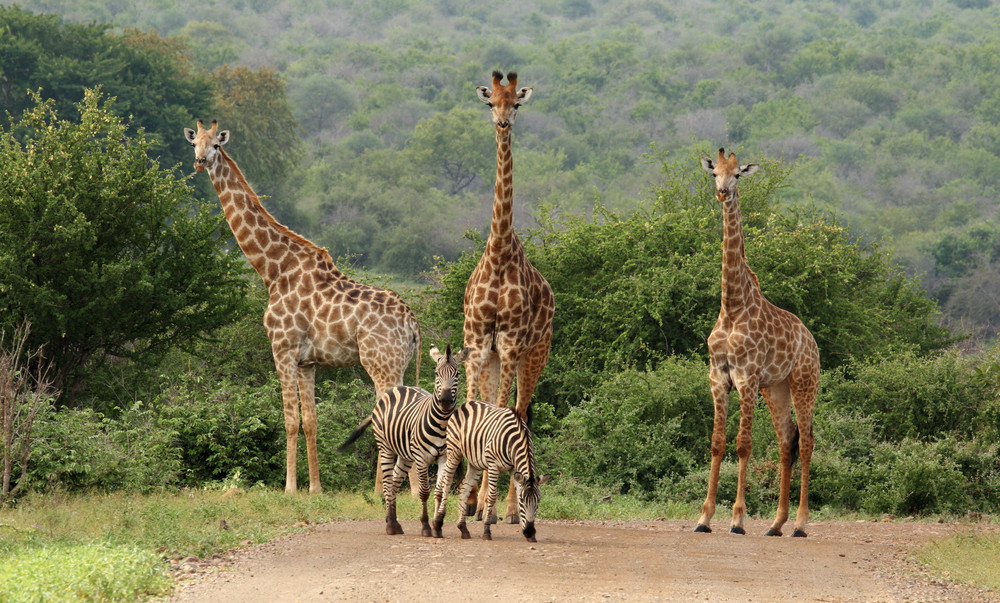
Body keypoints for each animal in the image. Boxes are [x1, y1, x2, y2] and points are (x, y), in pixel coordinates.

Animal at [184, 120, 421, 494]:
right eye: (195, 144)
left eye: (217, 145)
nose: (200, 162)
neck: (273, 269)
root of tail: (413, 324)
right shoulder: (308, 361)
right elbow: (310, 420)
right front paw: (315, 488)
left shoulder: (282, 348)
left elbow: (289, 419)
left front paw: (290, 488)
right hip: (396, 363)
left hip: (382, 364)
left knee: (396, 416)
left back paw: (398, 492)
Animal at [339, 343, 470, 536]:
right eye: (437, 373)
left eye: (458, 374)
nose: (445, 401)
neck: (442, 424)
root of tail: (397, 388)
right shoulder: (422, 459)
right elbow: (424, 492)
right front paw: (425, 526)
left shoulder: (444, 457)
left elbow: (439, 492)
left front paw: (437, 526)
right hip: (385, 447)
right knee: (387, 484)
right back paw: (390, 526)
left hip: (405, 455)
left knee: (394, 482)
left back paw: (393, 521)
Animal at [431, 400, 547, 542]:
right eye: (522, 501)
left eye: (538, 501)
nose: (530, 531)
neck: (514, 440)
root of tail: (466, 404)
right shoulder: (493, 465)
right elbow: (492, 497)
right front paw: (486, 530)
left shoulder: (514, 468)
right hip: (454, 451)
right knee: (447, 481)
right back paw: (438, 523)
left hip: (475, 463)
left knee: (464, 487)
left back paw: (463, 528)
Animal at [695, 148, 818, 537]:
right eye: (714, 173)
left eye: (738, 175)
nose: (722, 192)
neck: (732, 305)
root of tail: (812, 341)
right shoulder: (718, 377)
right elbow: (717, 443)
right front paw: (704, 518)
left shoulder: (746, 377)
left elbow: (743, 445)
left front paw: (737, 519)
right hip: (775, 388)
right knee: (785, 441)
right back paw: (776, 524)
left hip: (804, 382)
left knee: (805, 441)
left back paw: (801, 524)